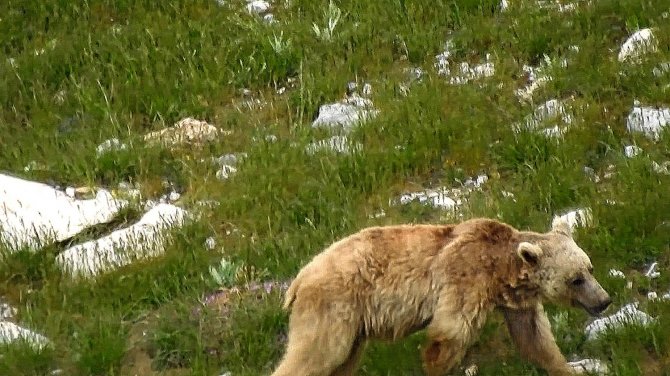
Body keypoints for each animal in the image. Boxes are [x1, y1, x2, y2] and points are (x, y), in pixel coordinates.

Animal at [270, 217, 612, 376]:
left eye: (589, 268)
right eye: (576, 279)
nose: (604, 300)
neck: (501, 271)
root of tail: (299, 279)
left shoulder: (516, 302)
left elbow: (536, 340)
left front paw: (568, 367)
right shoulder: (464, 279)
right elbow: (448, 334)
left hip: (352, 326)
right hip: (335, 307)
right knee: (317, 354)